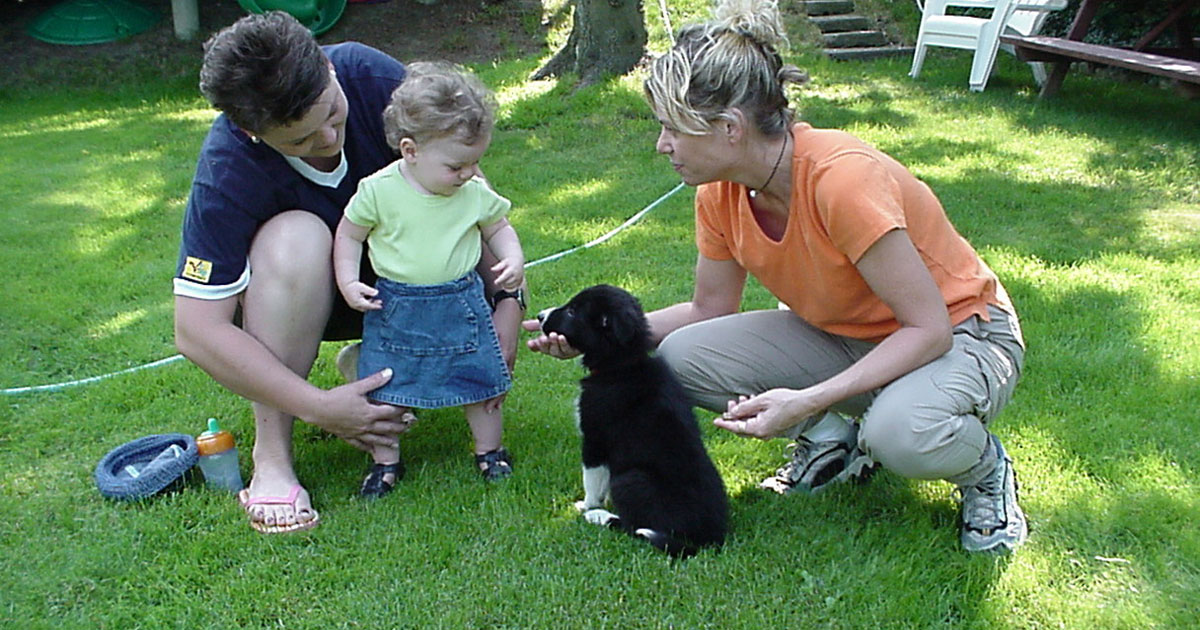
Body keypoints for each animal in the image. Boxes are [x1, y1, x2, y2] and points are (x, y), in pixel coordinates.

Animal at [540, 283, 724, 554]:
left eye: (573, 311)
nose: (539, 316)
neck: (622, 365)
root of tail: (710, 539)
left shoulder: (594, 437)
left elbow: (592, 479)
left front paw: (589, 505)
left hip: (632, 480)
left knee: (632, 526)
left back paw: (600, 517)